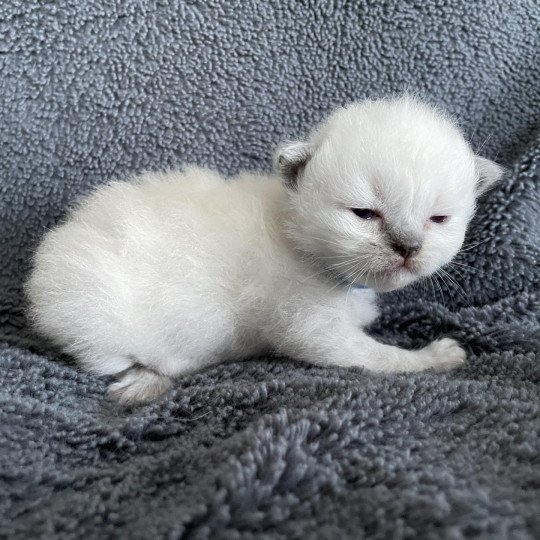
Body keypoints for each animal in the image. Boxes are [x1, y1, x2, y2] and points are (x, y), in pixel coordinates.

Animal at [26, 95, 506, 402]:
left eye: (438, 219)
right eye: (364, 213)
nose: (408, 247)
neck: (298, 240)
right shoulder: (309, 328)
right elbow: (377, 357)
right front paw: (435, 357)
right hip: (91, 310)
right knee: (114, 360)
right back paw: (149, 381)